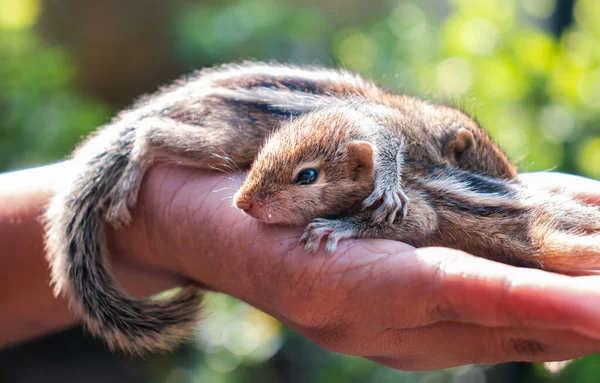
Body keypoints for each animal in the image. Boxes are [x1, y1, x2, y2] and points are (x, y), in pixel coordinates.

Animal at [43, 60, 600, 356]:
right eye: (484, 154)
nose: (512, 181)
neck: (420, 127)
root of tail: (186, 92)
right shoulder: (389, 136)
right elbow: (390, 164)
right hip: (222, 138)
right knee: (151, 134)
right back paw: (132, 171)